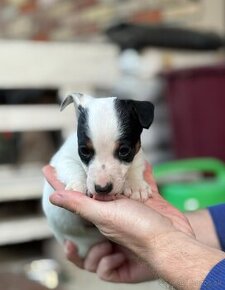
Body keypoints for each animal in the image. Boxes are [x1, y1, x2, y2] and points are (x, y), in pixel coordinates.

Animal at [42, 93, 155, 256]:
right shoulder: (64, 158)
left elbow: (135, 167)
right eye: (84, 150)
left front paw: (136, 186)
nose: (102, 188)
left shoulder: (138, 154)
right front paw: (78, 185)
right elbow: (72, 167)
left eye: (124, 151)